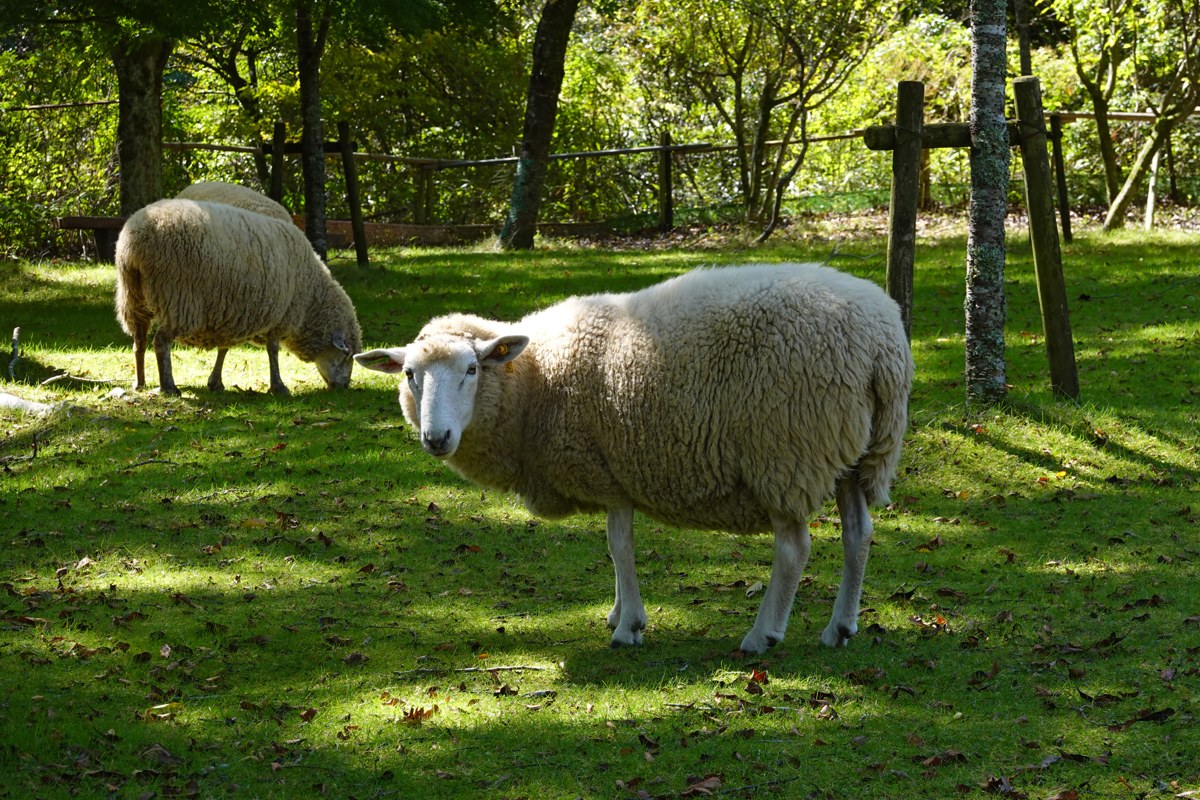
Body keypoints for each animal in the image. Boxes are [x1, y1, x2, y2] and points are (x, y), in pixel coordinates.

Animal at [115, 198, 362, 397]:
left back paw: (140, 383)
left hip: (132, 297)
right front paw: (278, 386)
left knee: (139, 342)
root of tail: (133, 242)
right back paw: (169, 387)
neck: (311, 296)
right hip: (179, 299)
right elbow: (273, 351)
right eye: (347, 355)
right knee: (160, 342)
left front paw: (215, 382)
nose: (344, 387)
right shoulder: (280, 315)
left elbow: (224, 348)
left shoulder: (232, 312)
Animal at [355, 262, 913, 654]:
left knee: (795, 548)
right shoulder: (613, 473)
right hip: (851, 454)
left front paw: (628, 626)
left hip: (784, 451)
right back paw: (840, 627)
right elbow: (614, 549)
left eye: (471, 369)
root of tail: (881, 343)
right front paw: (618, 612)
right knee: (858, 534)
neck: (536, 379)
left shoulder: (607, 470)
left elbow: (619, 547)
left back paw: (763, 635)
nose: (437, 437)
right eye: (409, 374)